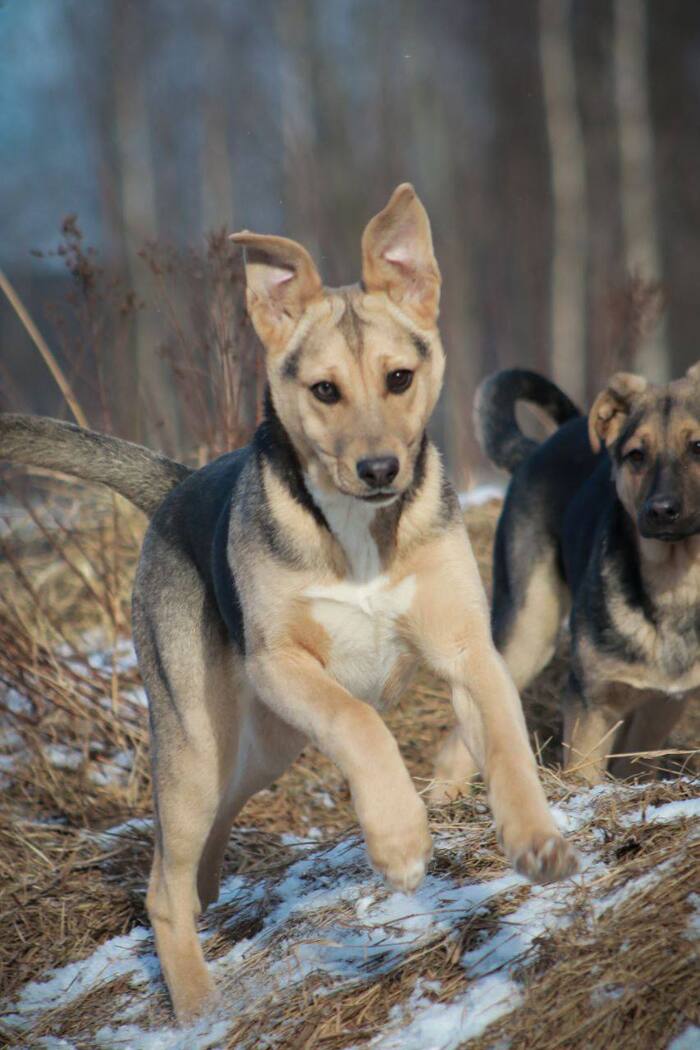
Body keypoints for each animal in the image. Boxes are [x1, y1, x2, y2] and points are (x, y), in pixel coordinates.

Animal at [0, 186, 577, 1022]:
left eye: (400, 378)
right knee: (162, 885)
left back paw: (206, 899)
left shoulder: (469, 648)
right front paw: (401, 842)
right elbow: (361, 721)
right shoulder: (281, 663)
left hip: (258, 748)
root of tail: (177, 488)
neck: (359, 532)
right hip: (197, 739)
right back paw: (199, 1005)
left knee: (196, 849)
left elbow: (502, 739)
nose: (381, 469)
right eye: (325, 390)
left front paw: (537, 840)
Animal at [443, 365, 700, 788]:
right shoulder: (589, 703)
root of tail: (537, 449)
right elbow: (582, 775)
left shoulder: (663, 701)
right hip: (528, 630)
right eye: (636, 456)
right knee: (457, 744)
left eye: (697, 446)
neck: (675, 583)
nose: (660, 511)